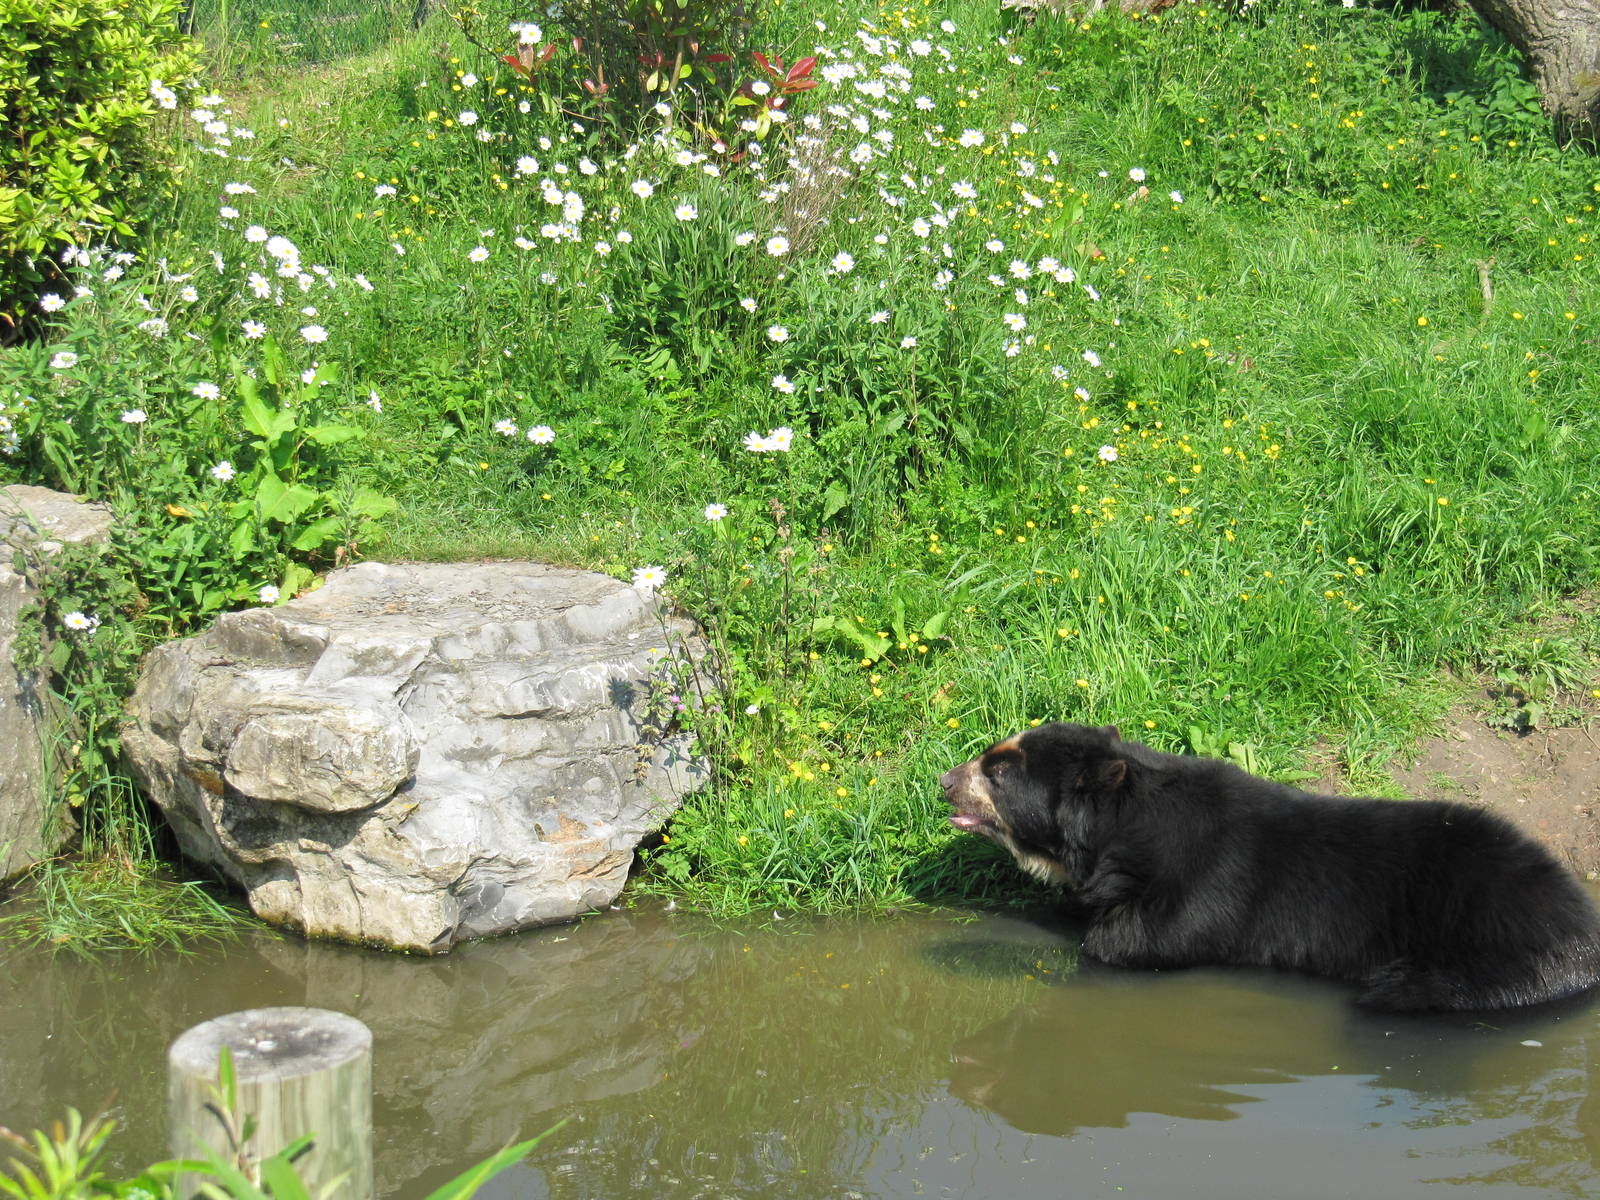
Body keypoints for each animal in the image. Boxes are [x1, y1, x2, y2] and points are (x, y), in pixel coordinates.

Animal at [940, 721, 1600, 1011]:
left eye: (998, 771)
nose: (944, 780)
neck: (1116, 832)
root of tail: (1580, 926)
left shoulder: (1201, 886)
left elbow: (1136, 941)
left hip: (1490, 947)